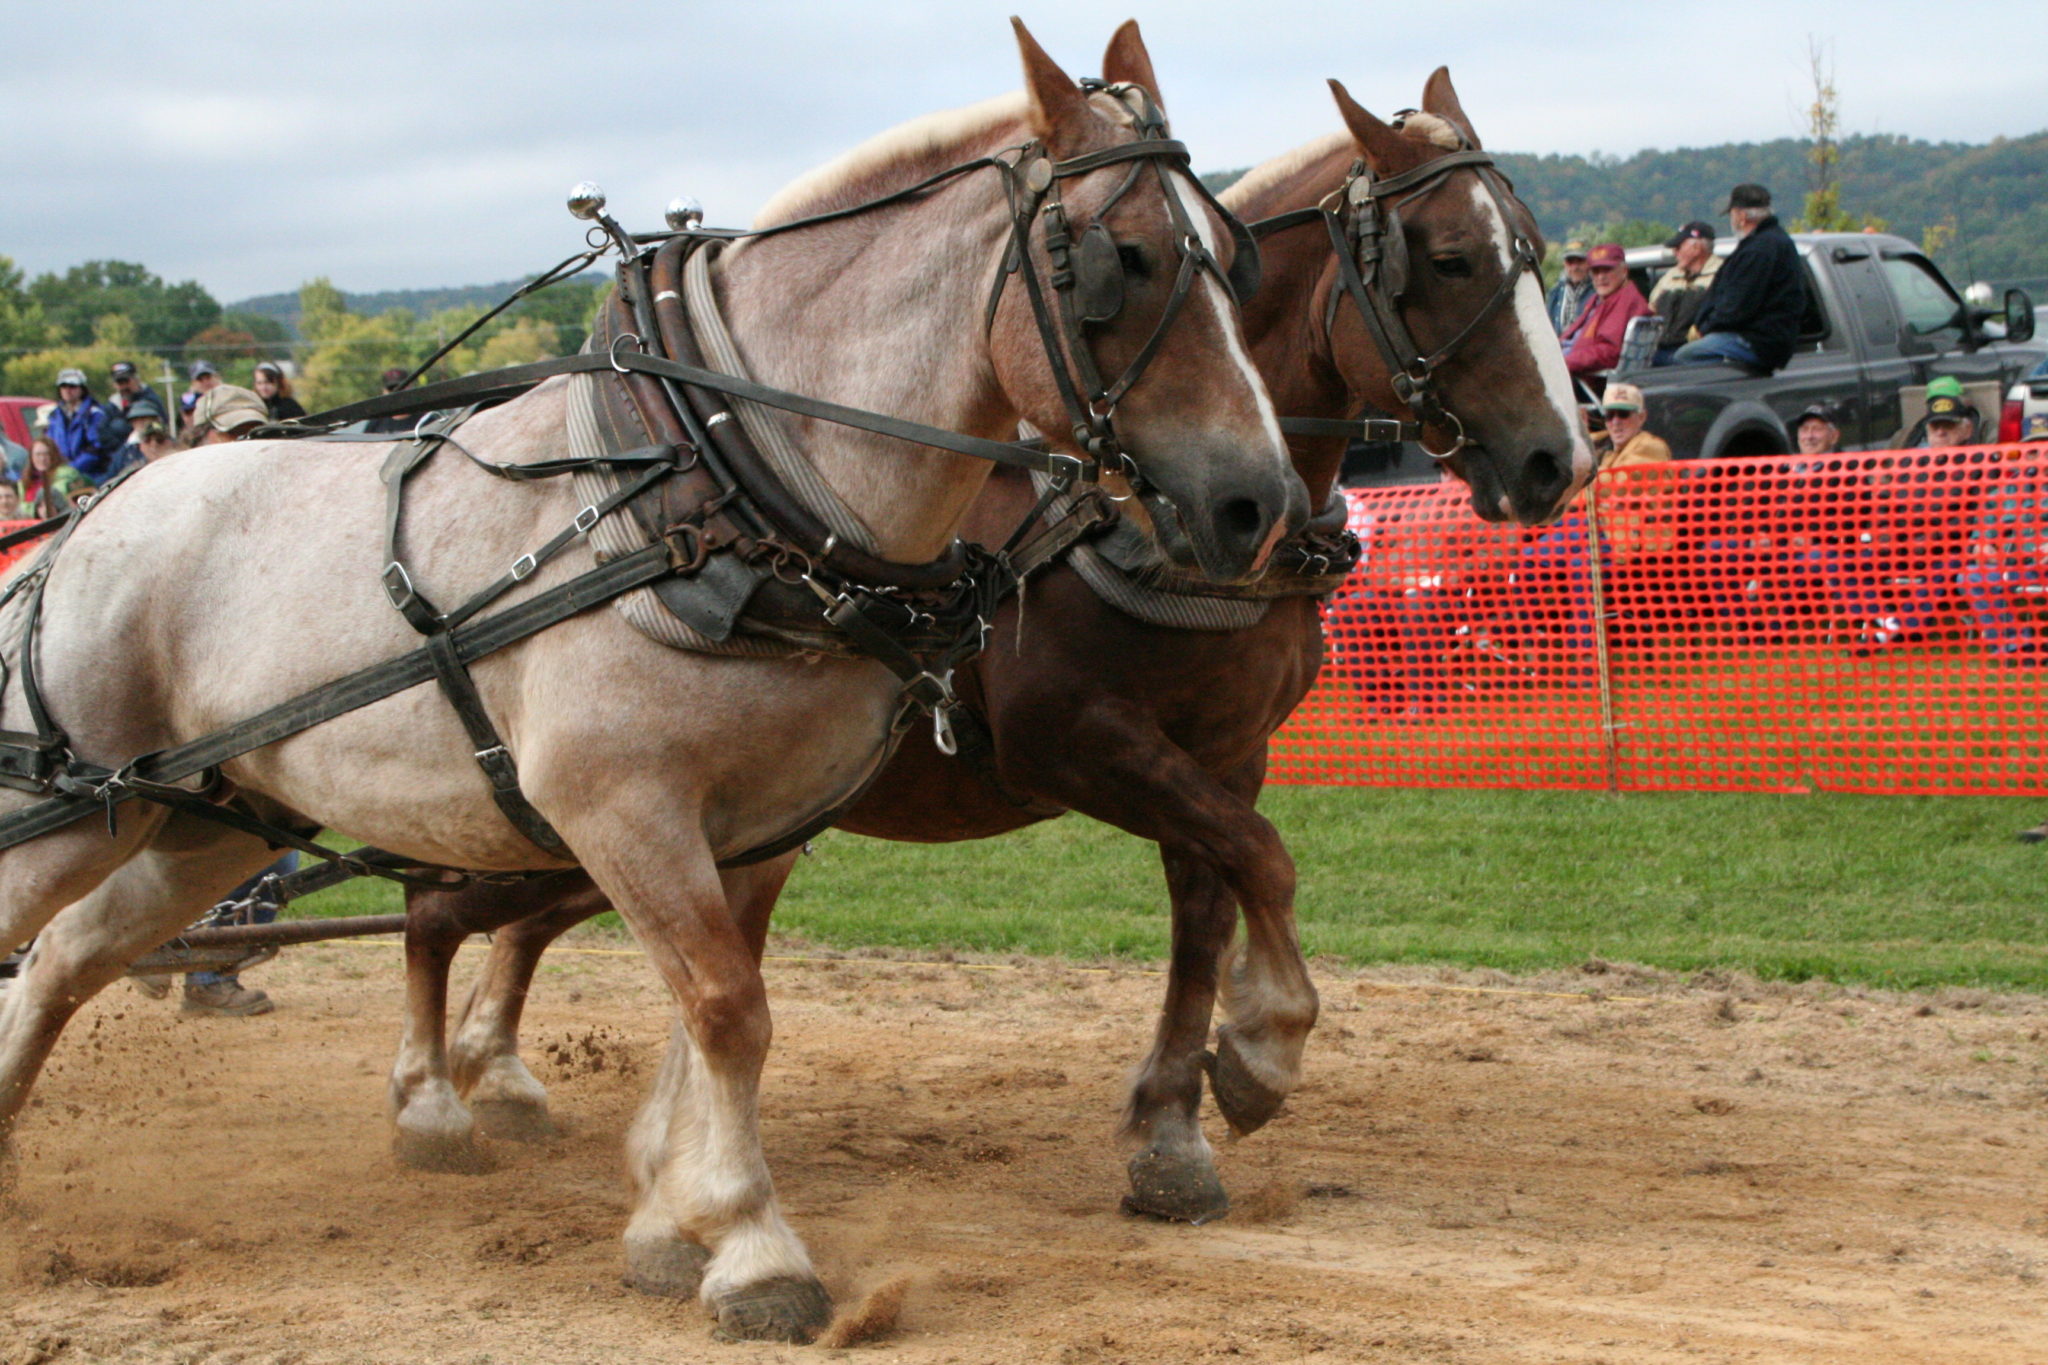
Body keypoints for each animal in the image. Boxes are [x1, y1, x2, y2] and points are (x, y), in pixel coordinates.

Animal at [0, 20, 1303, 1344]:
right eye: (1123, 262)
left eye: (1231, 260)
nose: (1256, 506)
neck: (713, 489)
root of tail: (90, 518)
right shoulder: (620, 807)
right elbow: (728, 1006)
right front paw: (750, 1246)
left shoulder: (758, 829)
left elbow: (708, 1003)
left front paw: (671, 1223)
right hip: (65, 812)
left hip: (203, 823)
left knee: (63, 959)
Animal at [387, 64, 1588, 1258]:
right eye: (1448, 259)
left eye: (1533, 249)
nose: (1560, 458)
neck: (1135, 521)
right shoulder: (1068, 740)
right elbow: (1265, 859)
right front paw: (1257, 1055)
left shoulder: (1224, 753)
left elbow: (1214, 905)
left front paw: (1170, 1130)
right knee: (444, 913)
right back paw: (448, 1093)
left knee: (520, 921)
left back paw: (503, 1081)